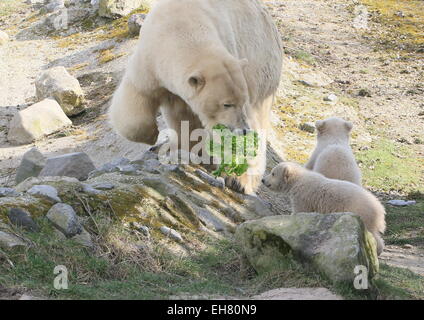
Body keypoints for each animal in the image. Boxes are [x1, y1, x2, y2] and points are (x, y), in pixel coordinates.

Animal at [109, 0, 282, 194]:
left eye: (239, 102)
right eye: (227, 104)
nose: (243, 130)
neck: (180, 27)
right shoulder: (149, 60)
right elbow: (137, 98)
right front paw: (153, 137)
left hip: (260, 69)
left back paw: (238, 179)